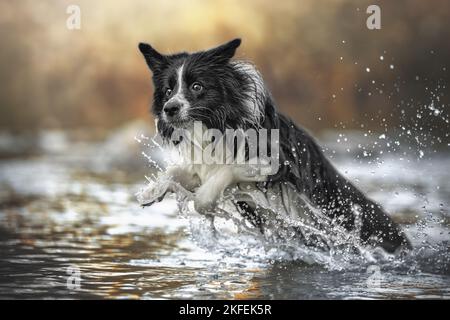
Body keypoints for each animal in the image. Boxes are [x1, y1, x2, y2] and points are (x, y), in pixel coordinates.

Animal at [138, 38, 412, 252]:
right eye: (168, 90)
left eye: (197, 87)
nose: (169, 109)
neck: (219, 124)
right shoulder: (203, 165)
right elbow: (180, 171)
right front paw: (154, 190)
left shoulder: (281, 162)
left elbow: (228, 170)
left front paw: (204, 199)